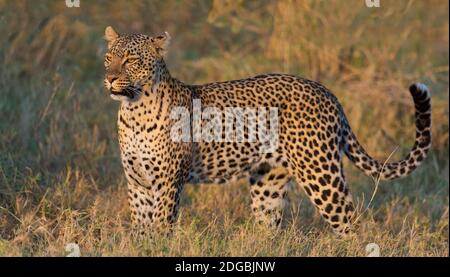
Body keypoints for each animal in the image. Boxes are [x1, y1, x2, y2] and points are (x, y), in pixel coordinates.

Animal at [103, 26, 432, 237]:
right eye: (108, 58)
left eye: (131, 60)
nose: (109, 79)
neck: (134, 111)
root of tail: (327, 92)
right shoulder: (138, 183)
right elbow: (141, 228)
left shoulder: (168, 183)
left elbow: (160, 227)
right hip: (268, 182)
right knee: (269, 228)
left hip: (320, 173)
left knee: (351, 222)